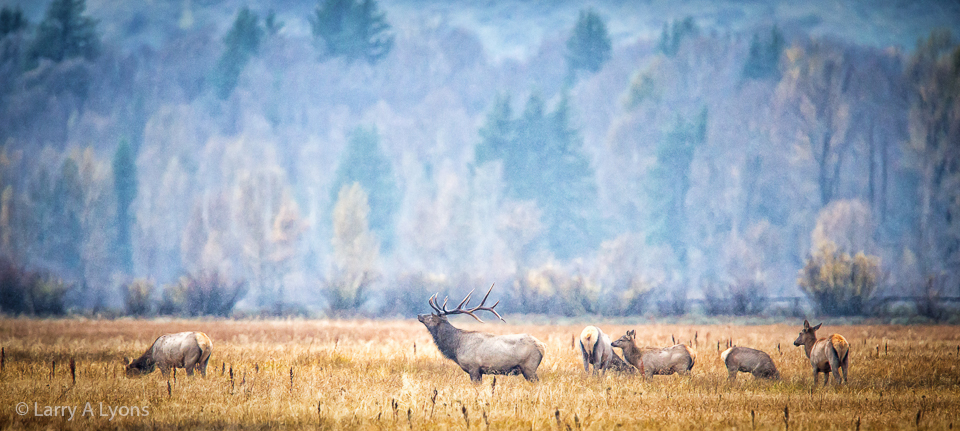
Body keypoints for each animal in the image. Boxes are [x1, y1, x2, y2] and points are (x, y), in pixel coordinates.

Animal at [417, 284, 546, 383]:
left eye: (430, 317)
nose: (419, 315)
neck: (456, 347)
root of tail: (542, 346)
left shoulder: (473, 368)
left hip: (529, 367)